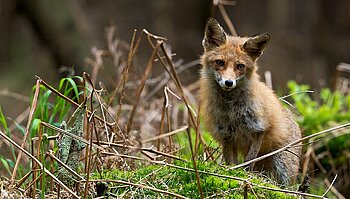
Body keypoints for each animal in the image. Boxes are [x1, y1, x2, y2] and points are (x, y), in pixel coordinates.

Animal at [198, 18, 302, 185]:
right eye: (220, 63)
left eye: (240, 66)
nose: (228, 83)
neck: (232, 110)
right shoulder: (227, 135)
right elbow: (231, 162)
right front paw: (232, 174)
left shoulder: (259, 128)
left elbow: (249, 161)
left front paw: (245, 176)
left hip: (283, 166)